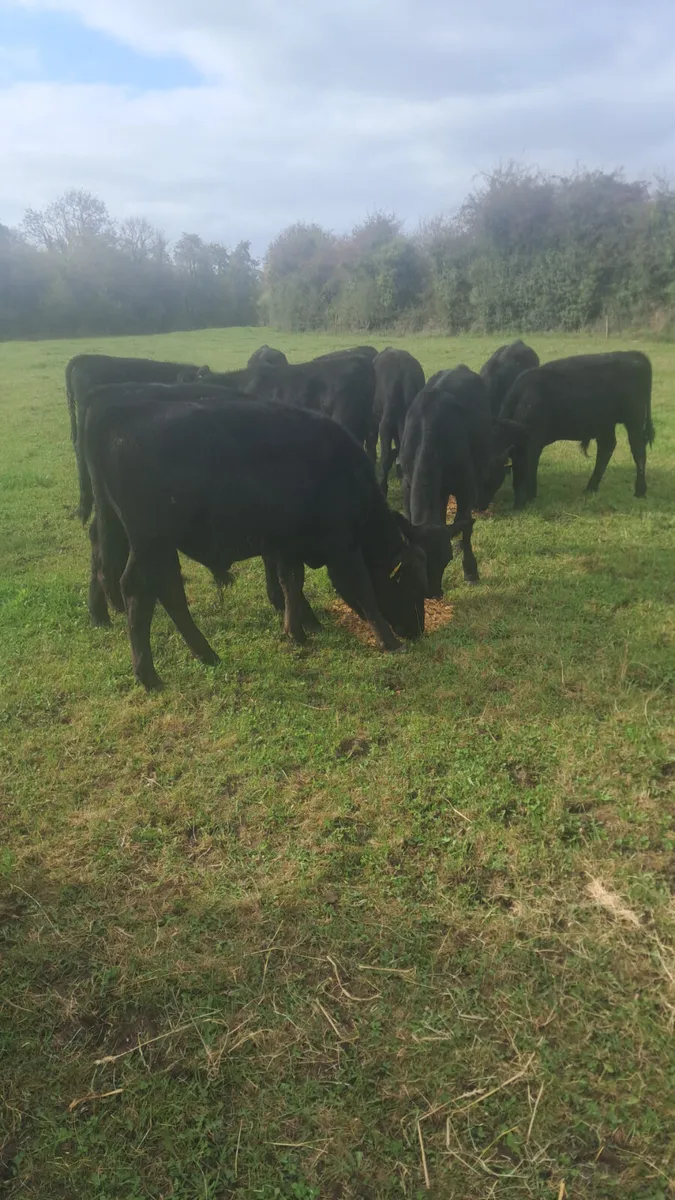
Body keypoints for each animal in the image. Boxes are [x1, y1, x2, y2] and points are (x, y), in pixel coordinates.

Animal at [84, 387, 456, 688]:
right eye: (411, 583)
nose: (417, 631)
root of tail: (117, 412)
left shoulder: (288, 545)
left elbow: (292, 583)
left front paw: (296, 632)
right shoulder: (344, 548)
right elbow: (363, 591)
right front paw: (389, 642)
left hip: (144, 541)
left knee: (163, 589)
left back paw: (205, 655)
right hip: (150, 542)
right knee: (138, 589)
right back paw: (150, 675)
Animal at [400, 366, 524, 595]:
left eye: (446, 559)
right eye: (420, 560)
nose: (433, 592)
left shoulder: (466, 488)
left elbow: (466, 527)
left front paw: (470, 571)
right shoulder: (407, 483)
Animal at [499, 351, 654, 508]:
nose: (517, 506)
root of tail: (633, 354)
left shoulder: (532, 443)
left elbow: (528, 467)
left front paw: (526, 499)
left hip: (634, 420)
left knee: (638, 451)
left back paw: (640, 491)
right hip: (605, 423)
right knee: (607, 447)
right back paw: (591, 487)